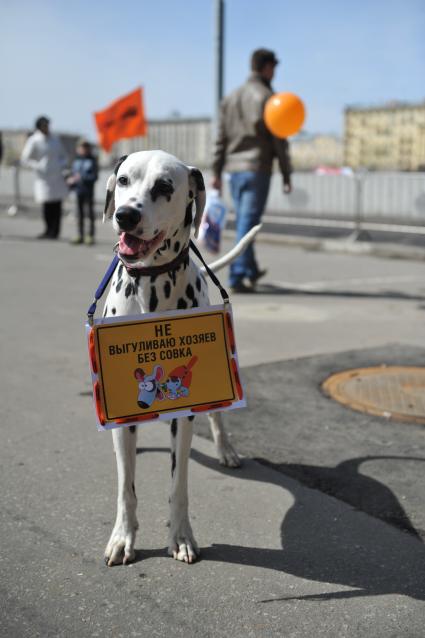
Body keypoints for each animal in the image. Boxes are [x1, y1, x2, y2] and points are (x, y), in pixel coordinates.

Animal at [102, 151, 248, 568]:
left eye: (164, 186)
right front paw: (123, 538)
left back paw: (225, 449)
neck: (152, 284)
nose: (125, 215)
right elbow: (126, 487)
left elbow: (178, 484)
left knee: (218, 417)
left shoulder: (184, 417)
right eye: (123, 180)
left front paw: (181, 536)